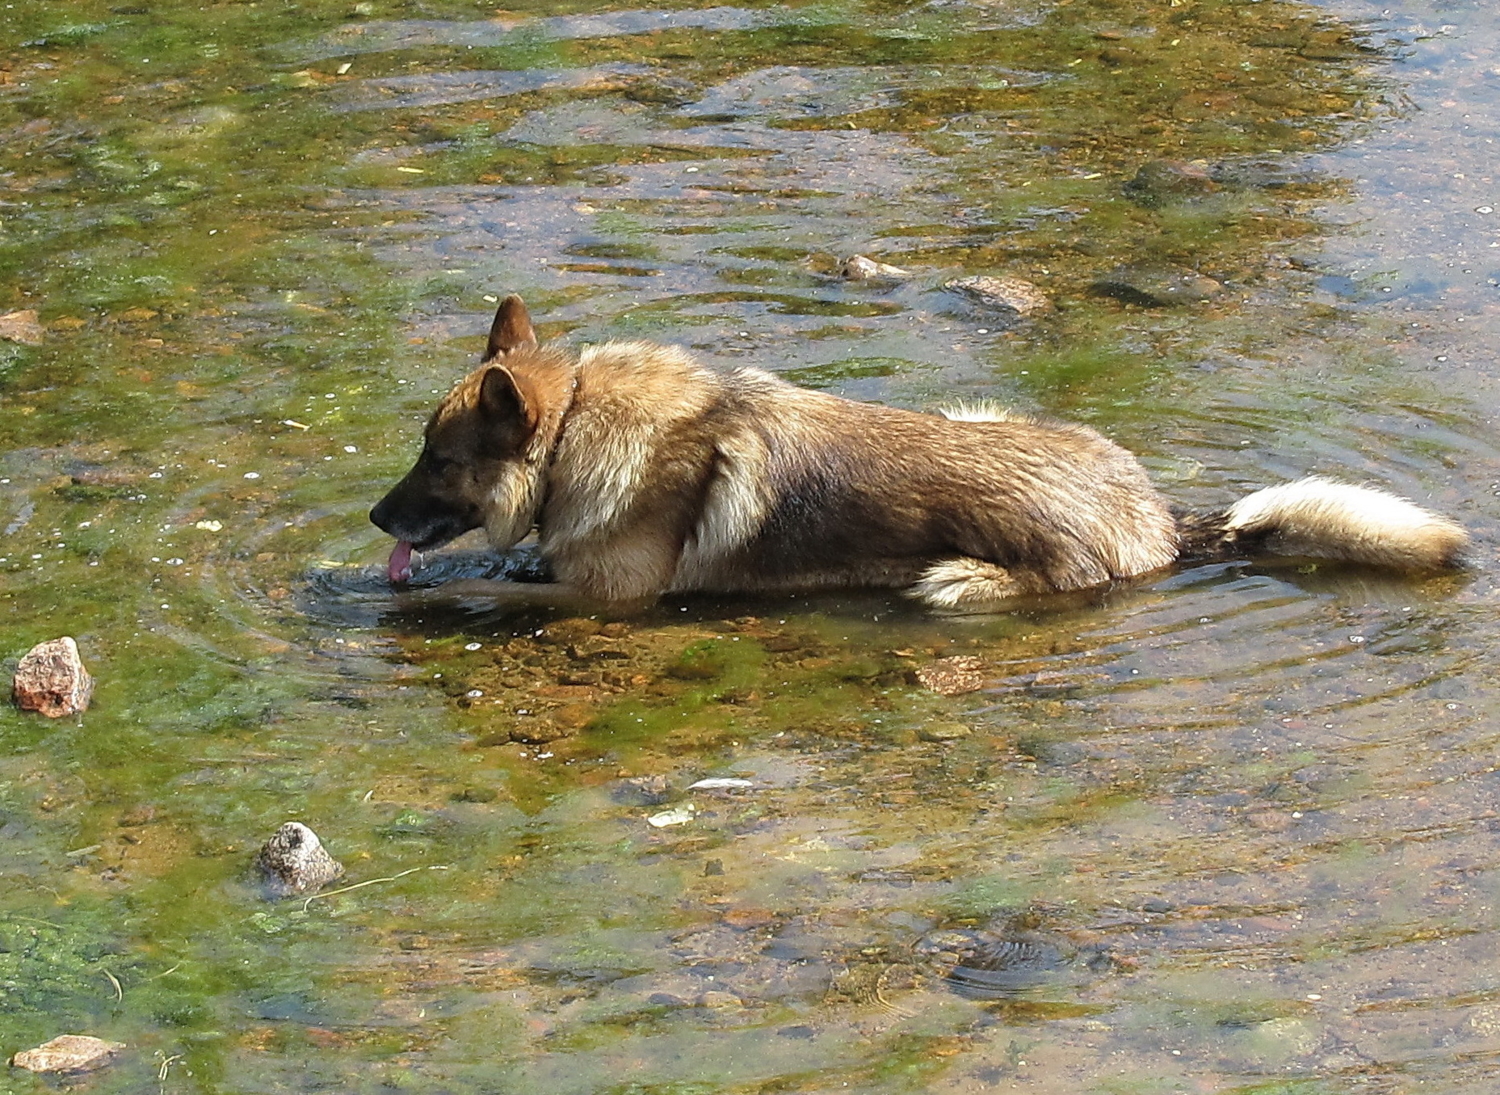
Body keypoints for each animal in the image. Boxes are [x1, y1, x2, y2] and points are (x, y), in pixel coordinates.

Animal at [369, 294, 1470, 609]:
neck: (576, 433)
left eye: (440, 461)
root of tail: (1161, 524)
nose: (376, 518)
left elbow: (498, 587)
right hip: (969, 411)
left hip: (949, 581)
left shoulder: (611, 599)